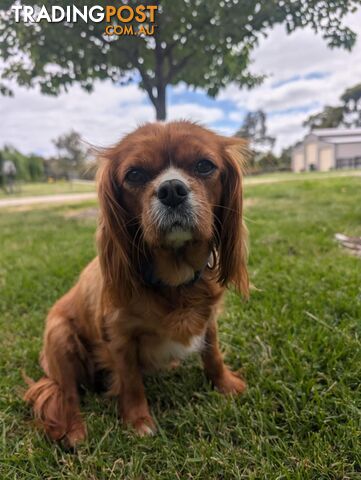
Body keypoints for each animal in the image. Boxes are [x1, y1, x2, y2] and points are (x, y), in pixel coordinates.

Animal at [23, 120, 249, 446]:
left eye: (204, 166)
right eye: (135, 174)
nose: (171, 189)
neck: (174, 281)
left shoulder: (209, 320)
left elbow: (213, 353)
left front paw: (226, 385)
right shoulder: (119, 337)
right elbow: (130, 381)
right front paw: (139, 421)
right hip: (59, 336)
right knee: (66, 393)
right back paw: (74, 431)